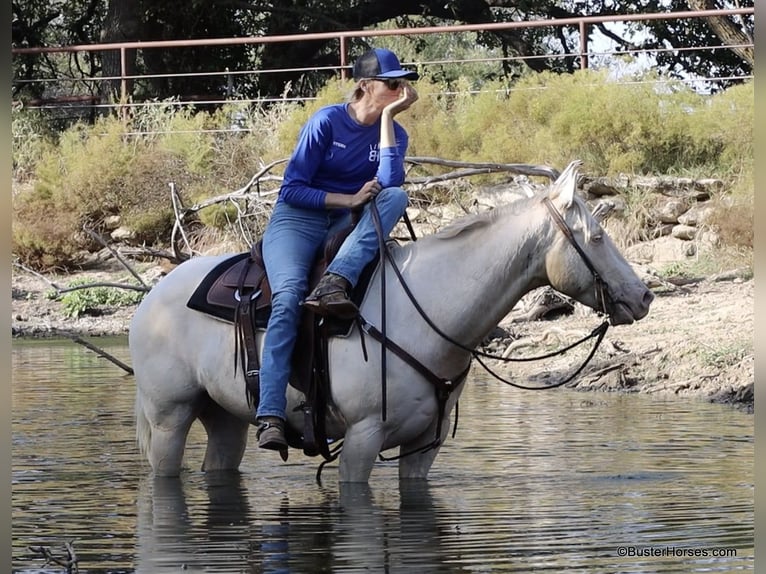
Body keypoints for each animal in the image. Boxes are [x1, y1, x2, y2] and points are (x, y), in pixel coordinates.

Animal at [129, 160, 653, 483]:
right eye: (598, 236)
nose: (644, 296)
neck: (426, 310)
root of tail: (152, 296)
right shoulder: (362, 440)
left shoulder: (424, 444)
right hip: (169, 416)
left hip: (223, 418)